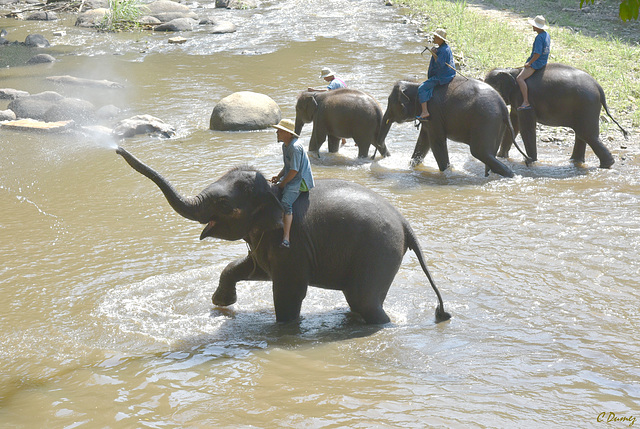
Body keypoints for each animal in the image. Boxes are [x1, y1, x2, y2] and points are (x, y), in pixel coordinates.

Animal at [115, 145, 450, 322]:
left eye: (224, 205)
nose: (117, 148)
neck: (273, 194)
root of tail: (405, 224)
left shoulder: (292, 245)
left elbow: (288, 291)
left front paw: (286, 329)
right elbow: (250, 268)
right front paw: (221, 303)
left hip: (379, 250)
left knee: (365, 301)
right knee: (359, 301)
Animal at [380, 76, 520, 176]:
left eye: (389, 102)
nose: (387, 156)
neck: (418, 85)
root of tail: (503, 106)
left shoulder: (433, 112)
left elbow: (437, 142)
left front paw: (446, 172)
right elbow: (423, 142)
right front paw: (411, 167)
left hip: (486, 120)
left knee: (479, 152)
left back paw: (510, 175)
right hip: (496, 123)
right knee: (489, 154)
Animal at [482, 63, 628, 167]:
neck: (513, 71)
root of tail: (599, 87)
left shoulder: (524, 99)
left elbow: (526, 128)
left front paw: (530, 161)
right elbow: (514, 125)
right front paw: (502, 157)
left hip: (587, 105)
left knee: (587, 134)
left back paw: (606, 164)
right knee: (582, 134)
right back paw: (576, 162)